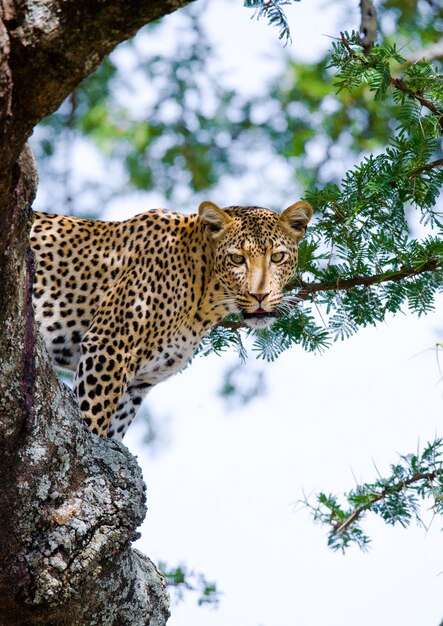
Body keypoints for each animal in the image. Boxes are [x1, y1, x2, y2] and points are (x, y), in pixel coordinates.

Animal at [30, 200, 312, 438]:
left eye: (277, 257)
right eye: (236, 258)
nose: (260, 295)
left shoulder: (137, 384)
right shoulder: (108, 347)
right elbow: (93, 417)